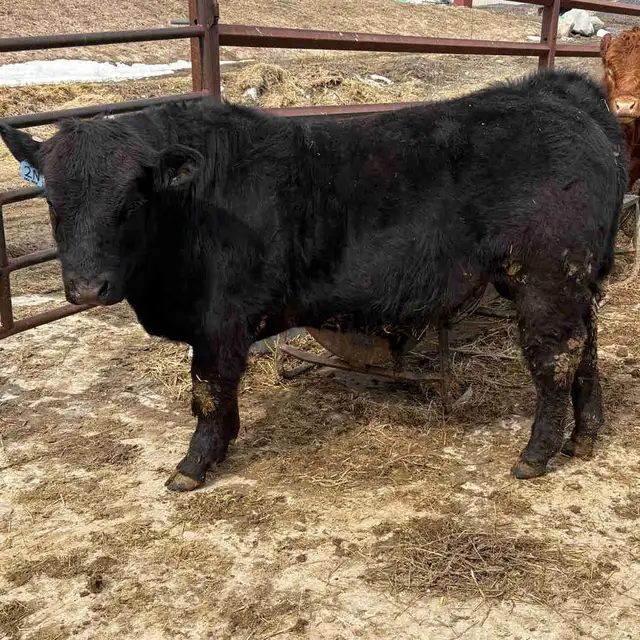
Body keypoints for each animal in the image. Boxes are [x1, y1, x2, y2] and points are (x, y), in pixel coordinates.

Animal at [0, 69, 627, 492]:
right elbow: (222, 393)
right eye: (51, 202)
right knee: (587, 350)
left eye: (130, 202)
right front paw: (223, 446)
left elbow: (208, 390)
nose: (87, 289)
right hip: (574, 287)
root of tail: (558, 95)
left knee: (555, 362)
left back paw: (536, 454)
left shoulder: (218, 320)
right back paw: (584, 438)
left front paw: (194, 465)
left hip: (545, 281)